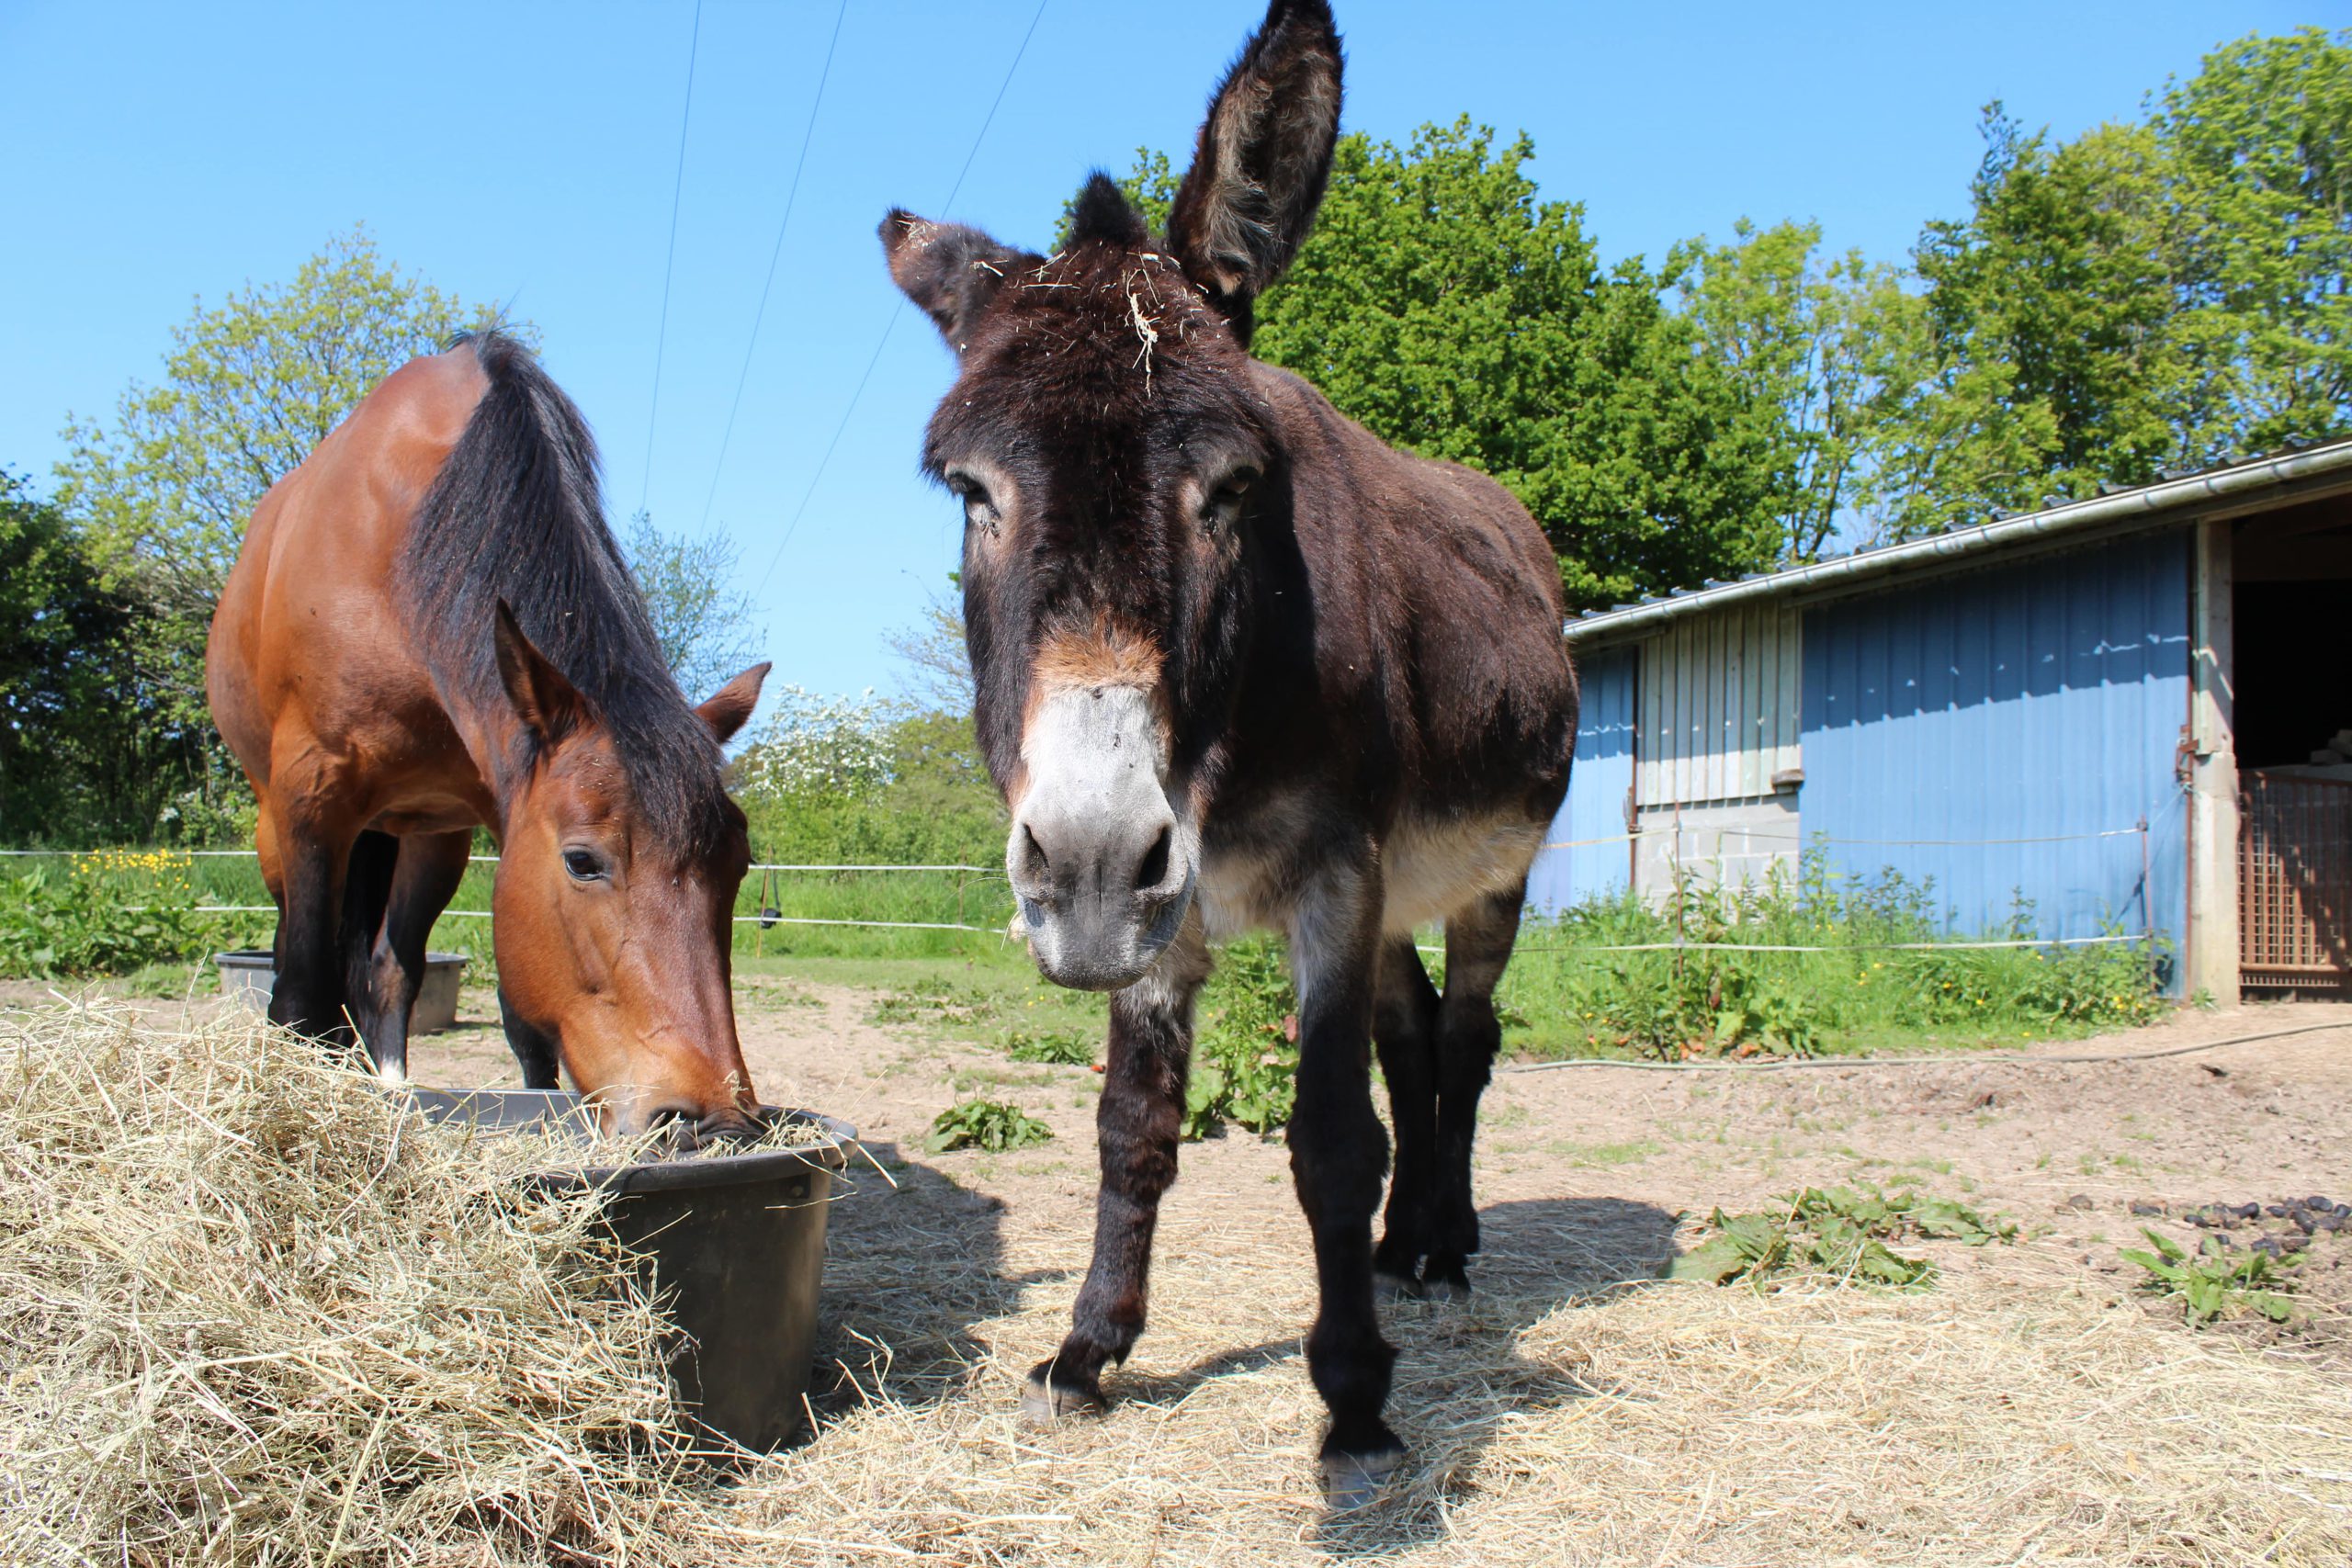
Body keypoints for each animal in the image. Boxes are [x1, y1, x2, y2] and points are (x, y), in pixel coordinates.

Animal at [205, 331, 771, 1138]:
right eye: (583, 860)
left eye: (739, 864)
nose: (714, 1117)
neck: (403, 558)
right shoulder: (311, 799)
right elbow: (301, 991)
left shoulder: (501, 815)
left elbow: (523, 1023)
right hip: (277, 828)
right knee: (307, 963)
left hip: (426, 835)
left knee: (386, 970)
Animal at [877, 0, 1576, 1508]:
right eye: (972, 493)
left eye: (1236, 491)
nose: (1083, 865)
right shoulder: (1169, 907)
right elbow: (1132, 1125)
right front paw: (1089, 1349)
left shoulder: (1330, 873)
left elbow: (1328, 1140)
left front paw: (1355, 1399)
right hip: (1383, 895)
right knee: (1415, 1038)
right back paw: (1404, 1246)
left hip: (1486, 872)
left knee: (1469, 1039)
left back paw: (1441, 1248)